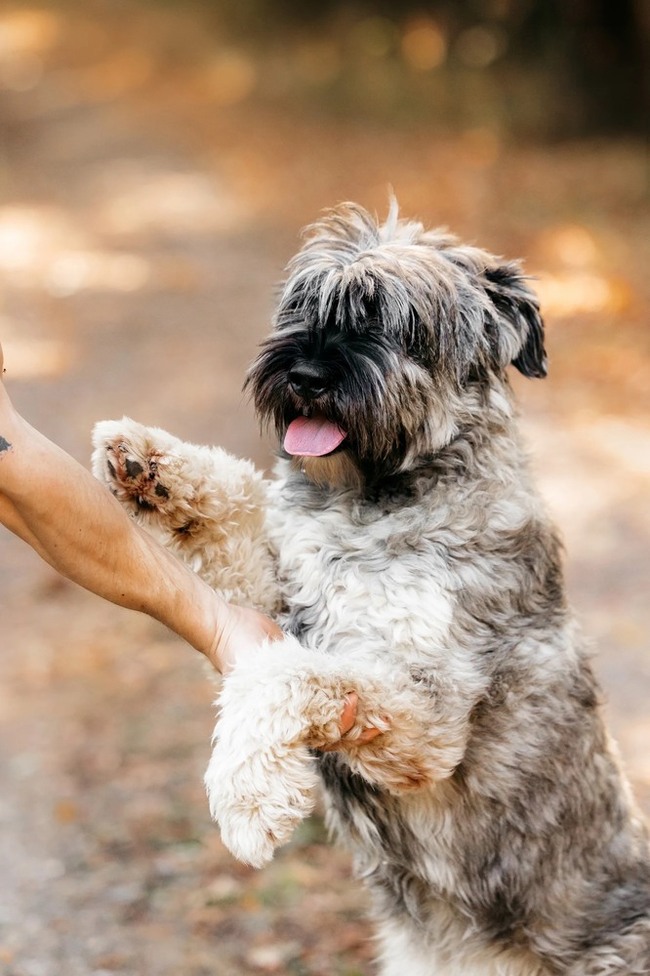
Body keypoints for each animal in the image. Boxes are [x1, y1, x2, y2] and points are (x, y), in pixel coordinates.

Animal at [92, 204, 648, 976]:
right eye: (305, 304)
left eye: (400, 324)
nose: (305, 376)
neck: (373, 500)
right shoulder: (278, 593)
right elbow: (241, 506)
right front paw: (148, 458)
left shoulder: (426, 715)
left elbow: (284, 675)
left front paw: (248, 794)